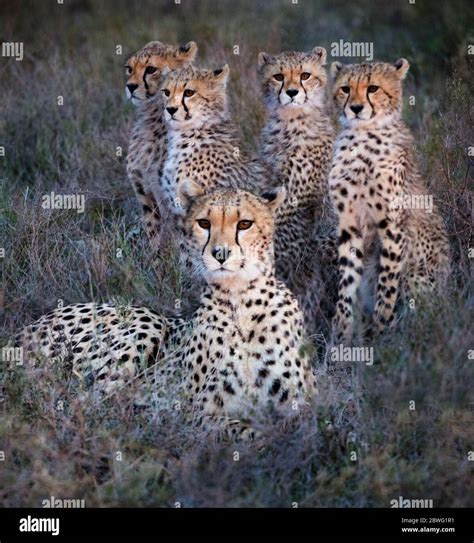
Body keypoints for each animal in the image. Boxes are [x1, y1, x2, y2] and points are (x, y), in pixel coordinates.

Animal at [13, 189, 314, 436]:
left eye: (244, 224)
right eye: (204, 223)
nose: (220, 254)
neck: (242, 302)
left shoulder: (302, 405)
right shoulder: (192, 411)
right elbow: (245, 431)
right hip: (146, 323)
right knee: (92, 407)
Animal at [125, 40, 197, 251]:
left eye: (151, 69)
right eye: (129, 69)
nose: (130, 86)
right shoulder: (142, 187)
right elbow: (153, 229)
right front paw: (154, 257)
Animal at [328, 58, 450, 340]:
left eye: (373, 88)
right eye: (345, 89)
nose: (356, 108)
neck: (361, 136)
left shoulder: (393, 226)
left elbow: (387, 283)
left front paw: (382, 329)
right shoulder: (348, 225)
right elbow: (347, 282)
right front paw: (341, 333)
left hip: (418, 277)